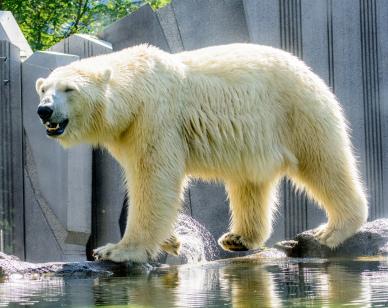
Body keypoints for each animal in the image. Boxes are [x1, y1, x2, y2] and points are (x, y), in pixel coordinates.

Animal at [35, 43, 366, 262]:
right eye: (44, 89)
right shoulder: (128, 131)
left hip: (295, 110)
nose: (43, 110)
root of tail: (308, 69)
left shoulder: (156, 117)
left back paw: (332, 231)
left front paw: (116, 250)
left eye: (69, 89)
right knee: (249, 183)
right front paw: (170, 241)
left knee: (323, 162)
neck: (137, 89)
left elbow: (153, 178)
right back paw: (238, 238)